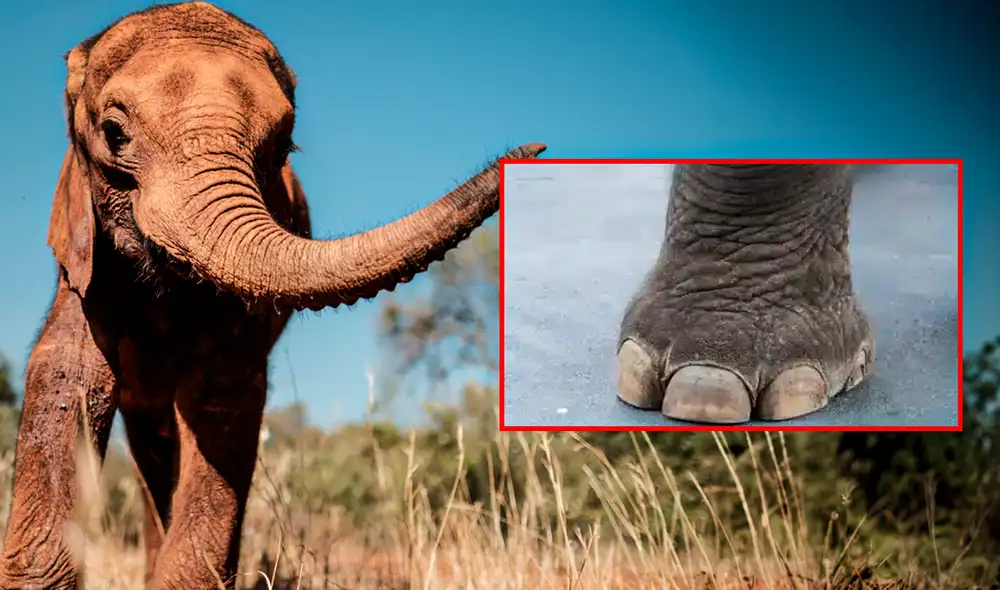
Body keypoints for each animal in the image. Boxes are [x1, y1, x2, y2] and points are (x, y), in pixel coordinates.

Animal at [0, 2, 544, 588]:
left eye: (283, 147)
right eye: (113, 133)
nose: (535, 151)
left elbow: (222, 395)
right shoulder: (84, 250)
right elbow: (69, 373)